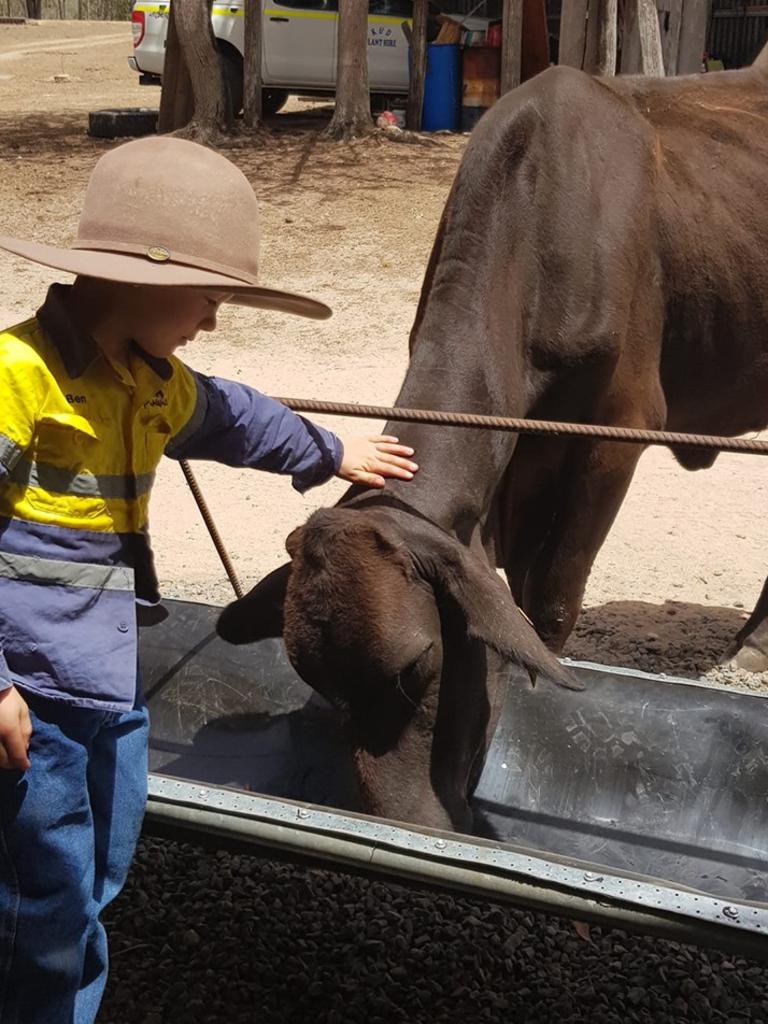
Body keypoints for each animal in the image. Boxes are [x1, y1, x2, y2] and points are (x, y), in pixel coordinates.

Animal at [218, 48, 768, 831]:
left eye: (418, 665)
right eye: (316, 682)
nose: (406, 820)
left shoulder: (616, 432)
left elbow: (552, 600)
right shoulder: (521, 459)